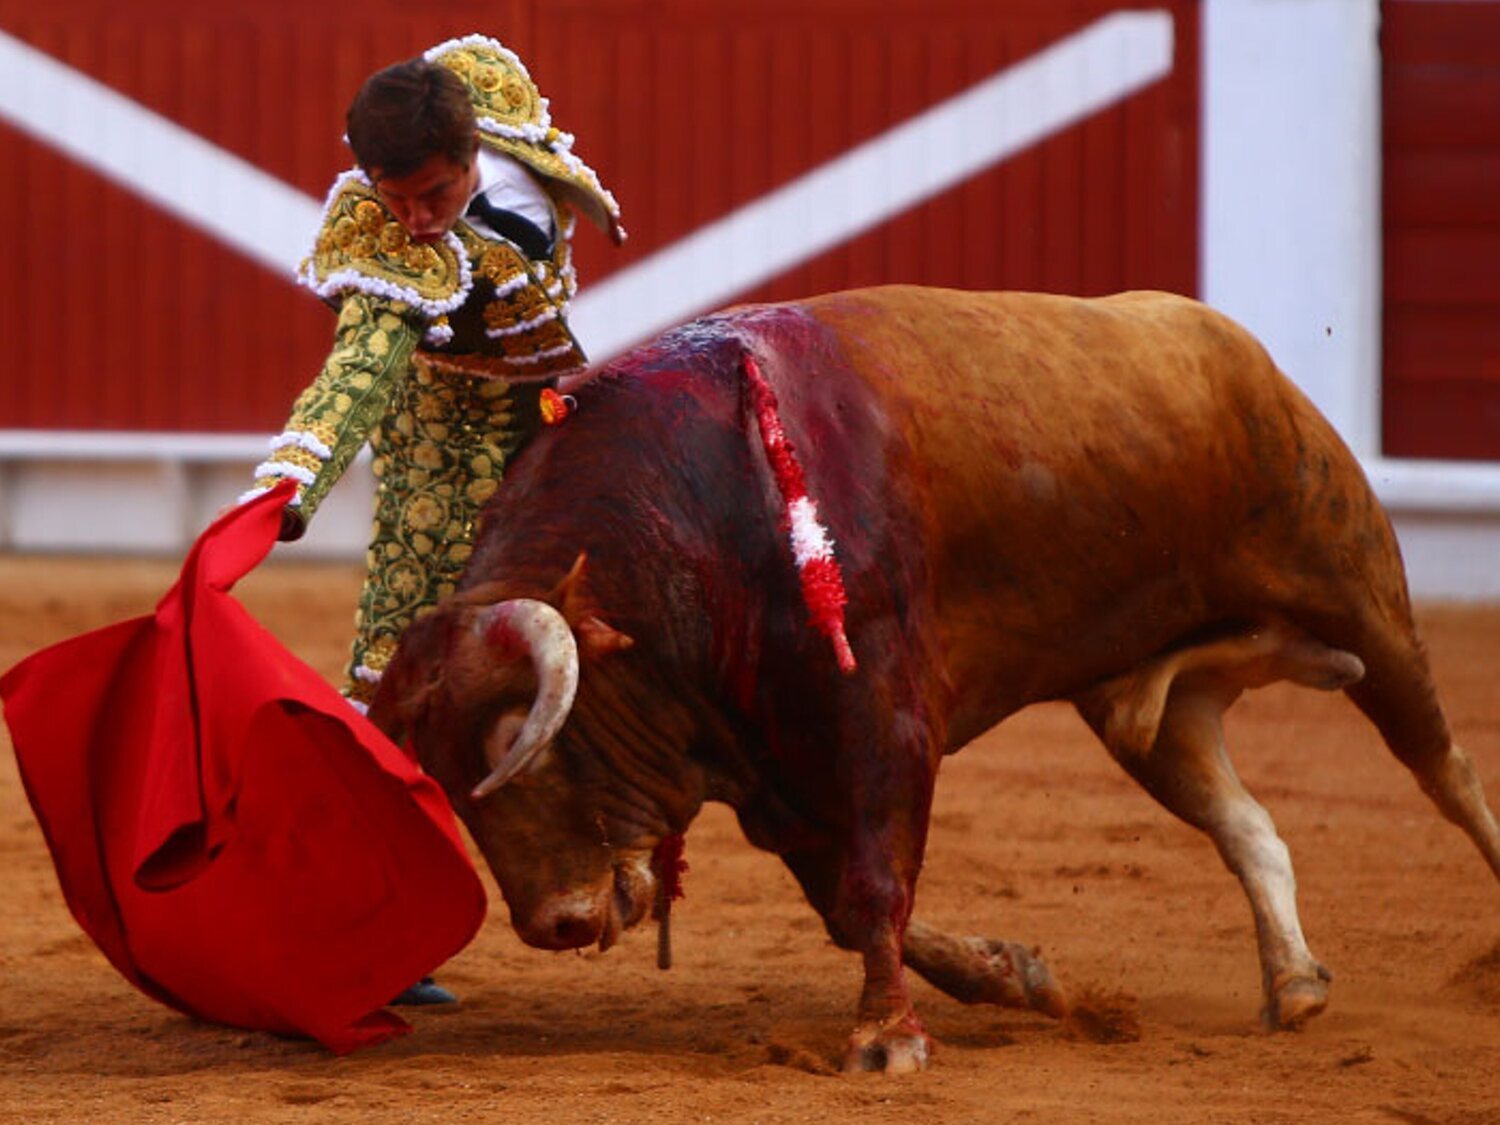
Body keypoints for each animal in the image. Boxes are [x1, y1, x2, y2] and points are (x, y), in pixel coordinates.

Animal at [372, 283, 1500, 1074]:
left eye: (526, 744)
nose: (552, 928)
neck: (691, 530)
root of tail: (1233, 346)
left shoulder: (883, 724)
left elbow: (876, 885)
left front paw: (888, 1043)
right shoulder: (778, 780)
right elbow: (855, 907)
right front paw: (1016, 975)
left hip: (1358, 590)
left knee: (1445, 769)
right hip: (1149, 706)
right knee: (1244, 820)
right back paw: (1295, 984)